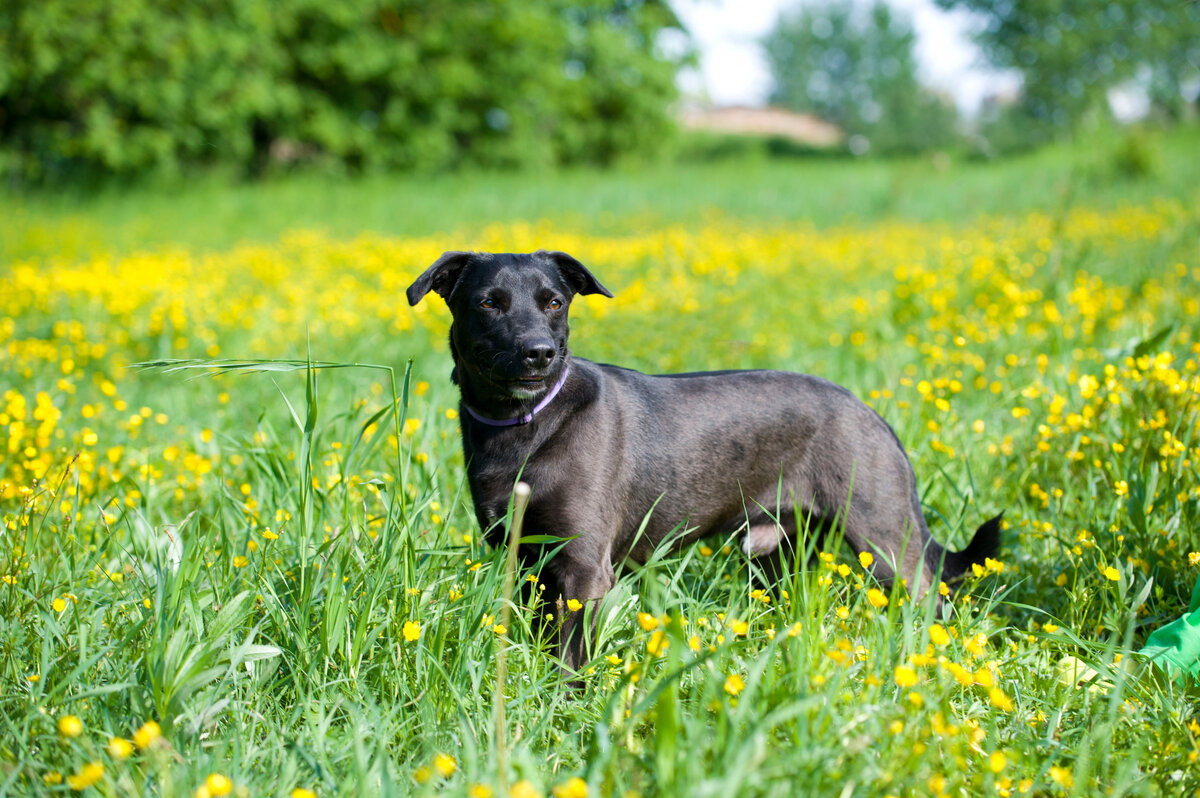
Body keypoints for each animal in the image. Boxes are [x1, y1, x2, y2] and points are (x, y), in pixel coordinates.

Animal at [408, 250, 998, 672]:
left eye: (555, 303)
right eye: (489, 303)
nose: (538, 353)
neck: (525, 425)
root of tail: (869, 413)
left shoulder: (582, 569)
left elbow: (571, 662)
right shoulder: (528, 563)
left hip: (888, 543)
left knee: (935, 602)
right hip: (778, 556)